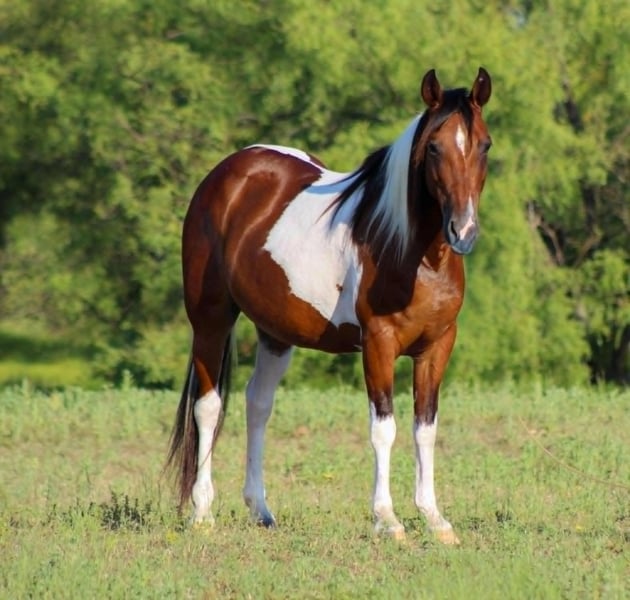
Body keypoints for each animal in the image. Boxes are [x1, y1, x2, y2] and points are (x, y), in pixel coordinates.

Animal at [168, 67, 492, 544]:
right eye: (434, 147)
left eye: (485, 145)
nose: (463, 231)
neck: (406, 249)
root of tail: (226, 173)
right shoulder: (378, 345)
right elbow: (384, 429)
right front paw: (387, 519)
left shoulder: (437, 347)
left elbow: (425, 430)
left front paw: (435, 519)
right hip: (210, 320)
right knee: (208, 407)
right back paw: (203, 512)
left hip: (275, 332)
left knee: (257, 403)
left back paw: (260, 509)